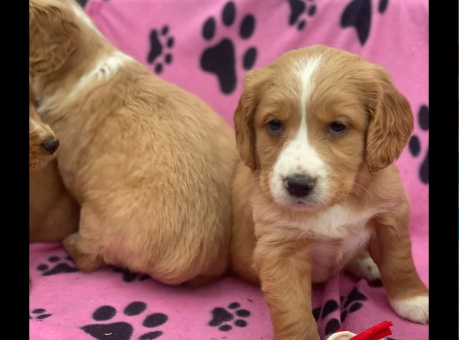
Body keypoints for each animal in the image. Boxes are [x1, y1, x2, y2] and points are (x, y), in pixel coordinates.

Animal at [232, 45, 430, 340]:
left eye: (338, 126)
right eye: (274, 124)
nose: (297, 184)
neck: (336, 202)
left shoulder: (390, 217)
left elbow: (399, 262)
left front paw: (414, 300)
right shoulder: (280, 251)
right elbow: (292, 312)